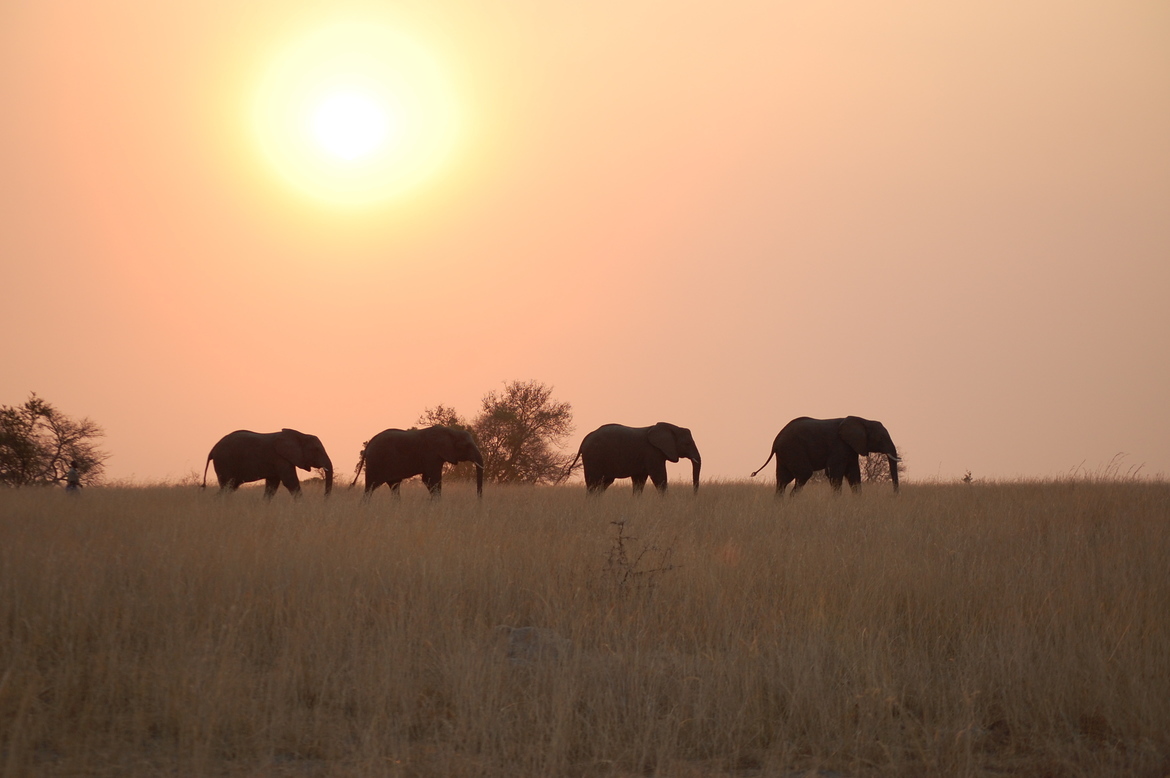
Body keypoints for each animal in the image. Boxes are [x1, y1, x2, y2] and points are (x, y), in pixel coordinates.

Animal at [202, 428, 333, 497]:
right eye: (317, 449)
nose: (324, 500)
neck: (300, 435)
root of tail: (212, 450)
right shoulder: (280, 458)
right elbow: (290, 482)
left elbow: (272, 485)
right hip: (224, 462)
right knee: (227, 486)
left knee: (230, 487)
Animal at [353, 425, 484, 498]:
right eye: (467, 445)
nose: (479, 501)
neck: (450, 431)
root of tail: (368, 446)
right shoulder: (431, 455)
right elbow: (433, 479)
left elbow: (428, 480)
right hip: (376, 461)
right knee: (370, 487)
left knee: (394, 486)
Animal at [568, 422, 701, 494]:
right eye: (687, 443)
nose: (694, 496)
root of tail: (585, 439)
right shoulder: (652, 452)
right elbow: (659, 477)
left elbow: (639, 481)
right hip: (593, 457)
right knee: (592, 483)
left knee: (603, 483)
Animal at [751, 416, 900, 495]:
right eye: (881, 438)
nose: (894, 496)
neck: (863, 420)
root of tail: (775, 441)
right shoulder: (838, 445)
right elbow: (834, 473)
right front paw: (837, 502)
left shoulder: (851, 448)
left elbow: (854, 474)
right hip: (793, 449)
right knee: (803, 474)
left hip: (785, 453)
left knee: (782, 480)